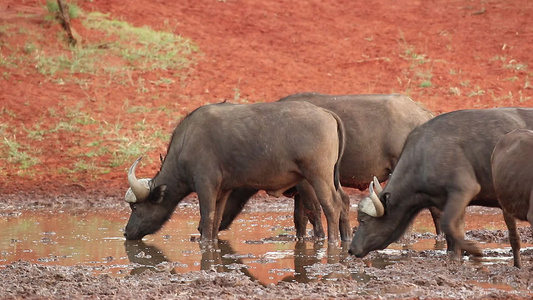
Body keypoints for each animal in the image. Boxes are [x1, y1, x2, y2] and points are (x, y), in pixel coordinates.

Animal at [124, 101, 350, 244]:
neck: (186, 144)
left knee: (331, 204)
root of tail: (327, 114)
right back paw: (346, 237)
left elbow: (207, 215)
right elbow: (216, 218)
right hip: (330, 177)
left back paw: (333, 240)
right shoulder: (223, 190)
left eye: (135, 207)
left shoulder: (205, 184)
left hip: (318, 176)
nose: (126, 232)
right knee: (344, 200)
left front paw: (204, 242)